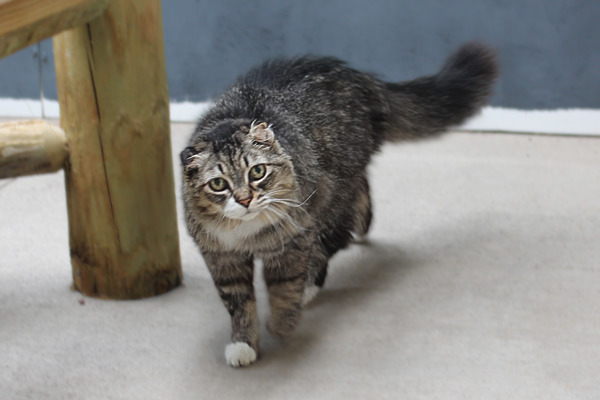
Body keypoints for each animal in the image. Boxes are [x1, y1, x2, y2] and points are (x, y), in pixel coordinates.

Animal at [180, 42, 500, 368]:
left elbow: (284, 289)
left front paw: (283, 324)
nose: (245, 199)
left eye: (257, 172)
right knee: (362, 198)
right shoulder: (222, 259)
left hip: (331, 198)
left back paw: (311, 285)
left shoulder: (294, 241)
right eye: (218, 184)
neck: (248, 235)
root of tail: (362, 79)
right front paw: (243, 344)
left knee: (334, 238)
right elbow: (239, 305)